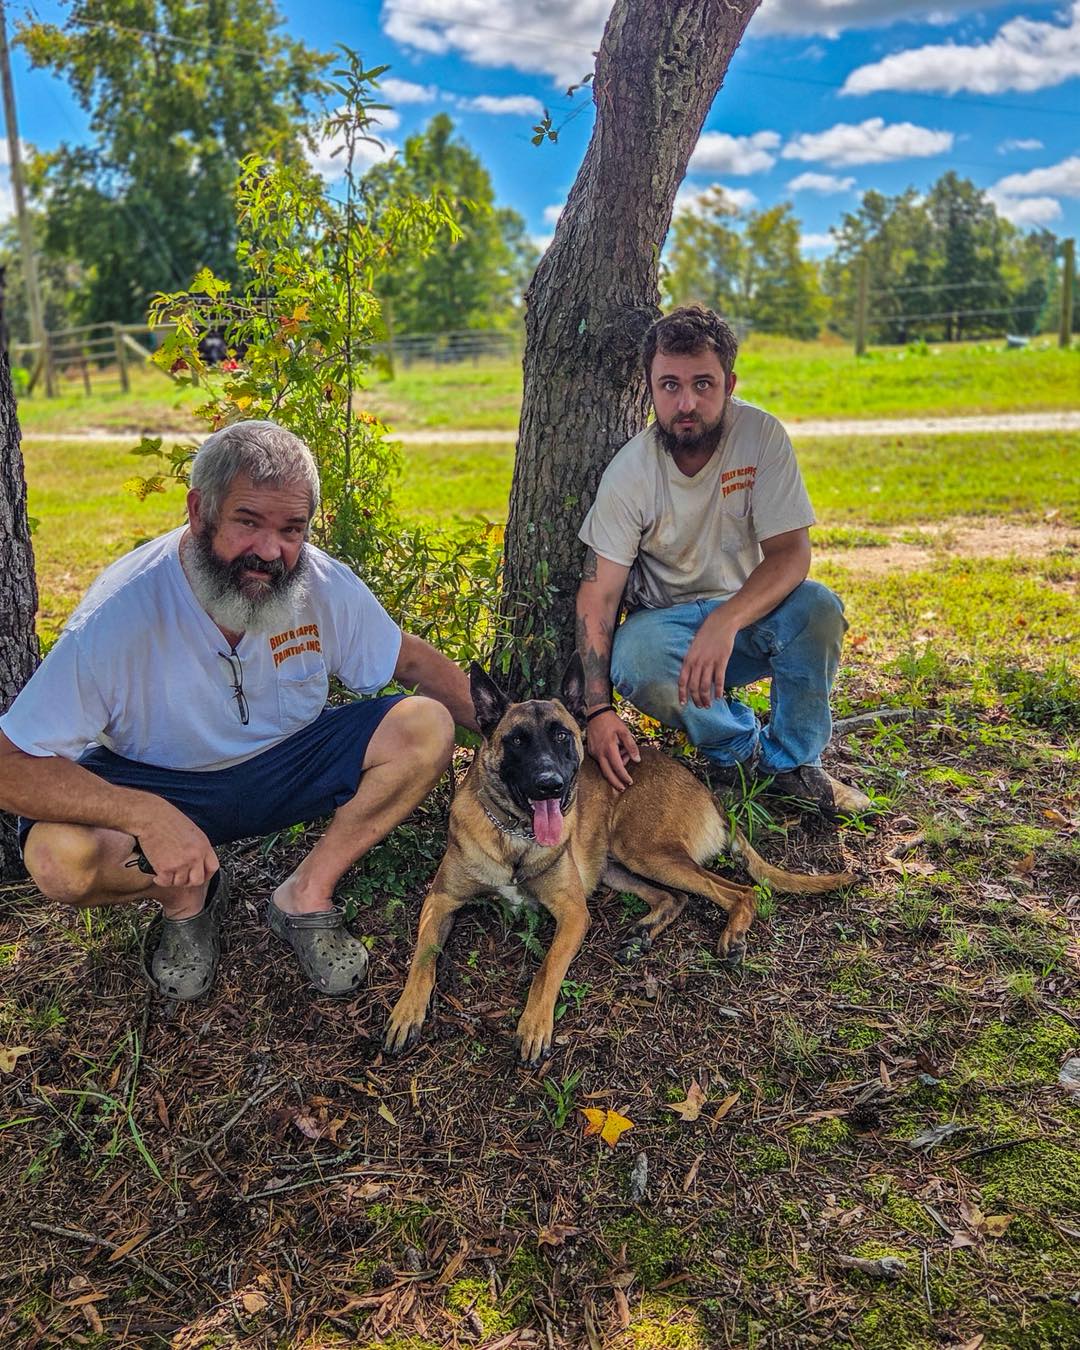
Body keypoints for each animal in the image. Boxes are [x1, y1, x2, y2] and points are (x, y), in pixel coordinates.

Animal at [385, 655, 854, 1064]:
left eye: (562, 735)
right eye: (517, 740)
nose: (550, 785)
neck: (514, 838)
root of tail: (702, 786)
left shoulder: (574, 912)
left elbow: (546, 970)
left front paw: (534, 1025)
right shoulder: (441, 901)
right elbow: (423, 957)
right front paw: (406, 1012)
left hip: (643, 850)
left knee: (739, 890)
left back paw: (732, 935)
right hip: (615, 865)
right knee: (675, 898)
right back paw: (644, 932)